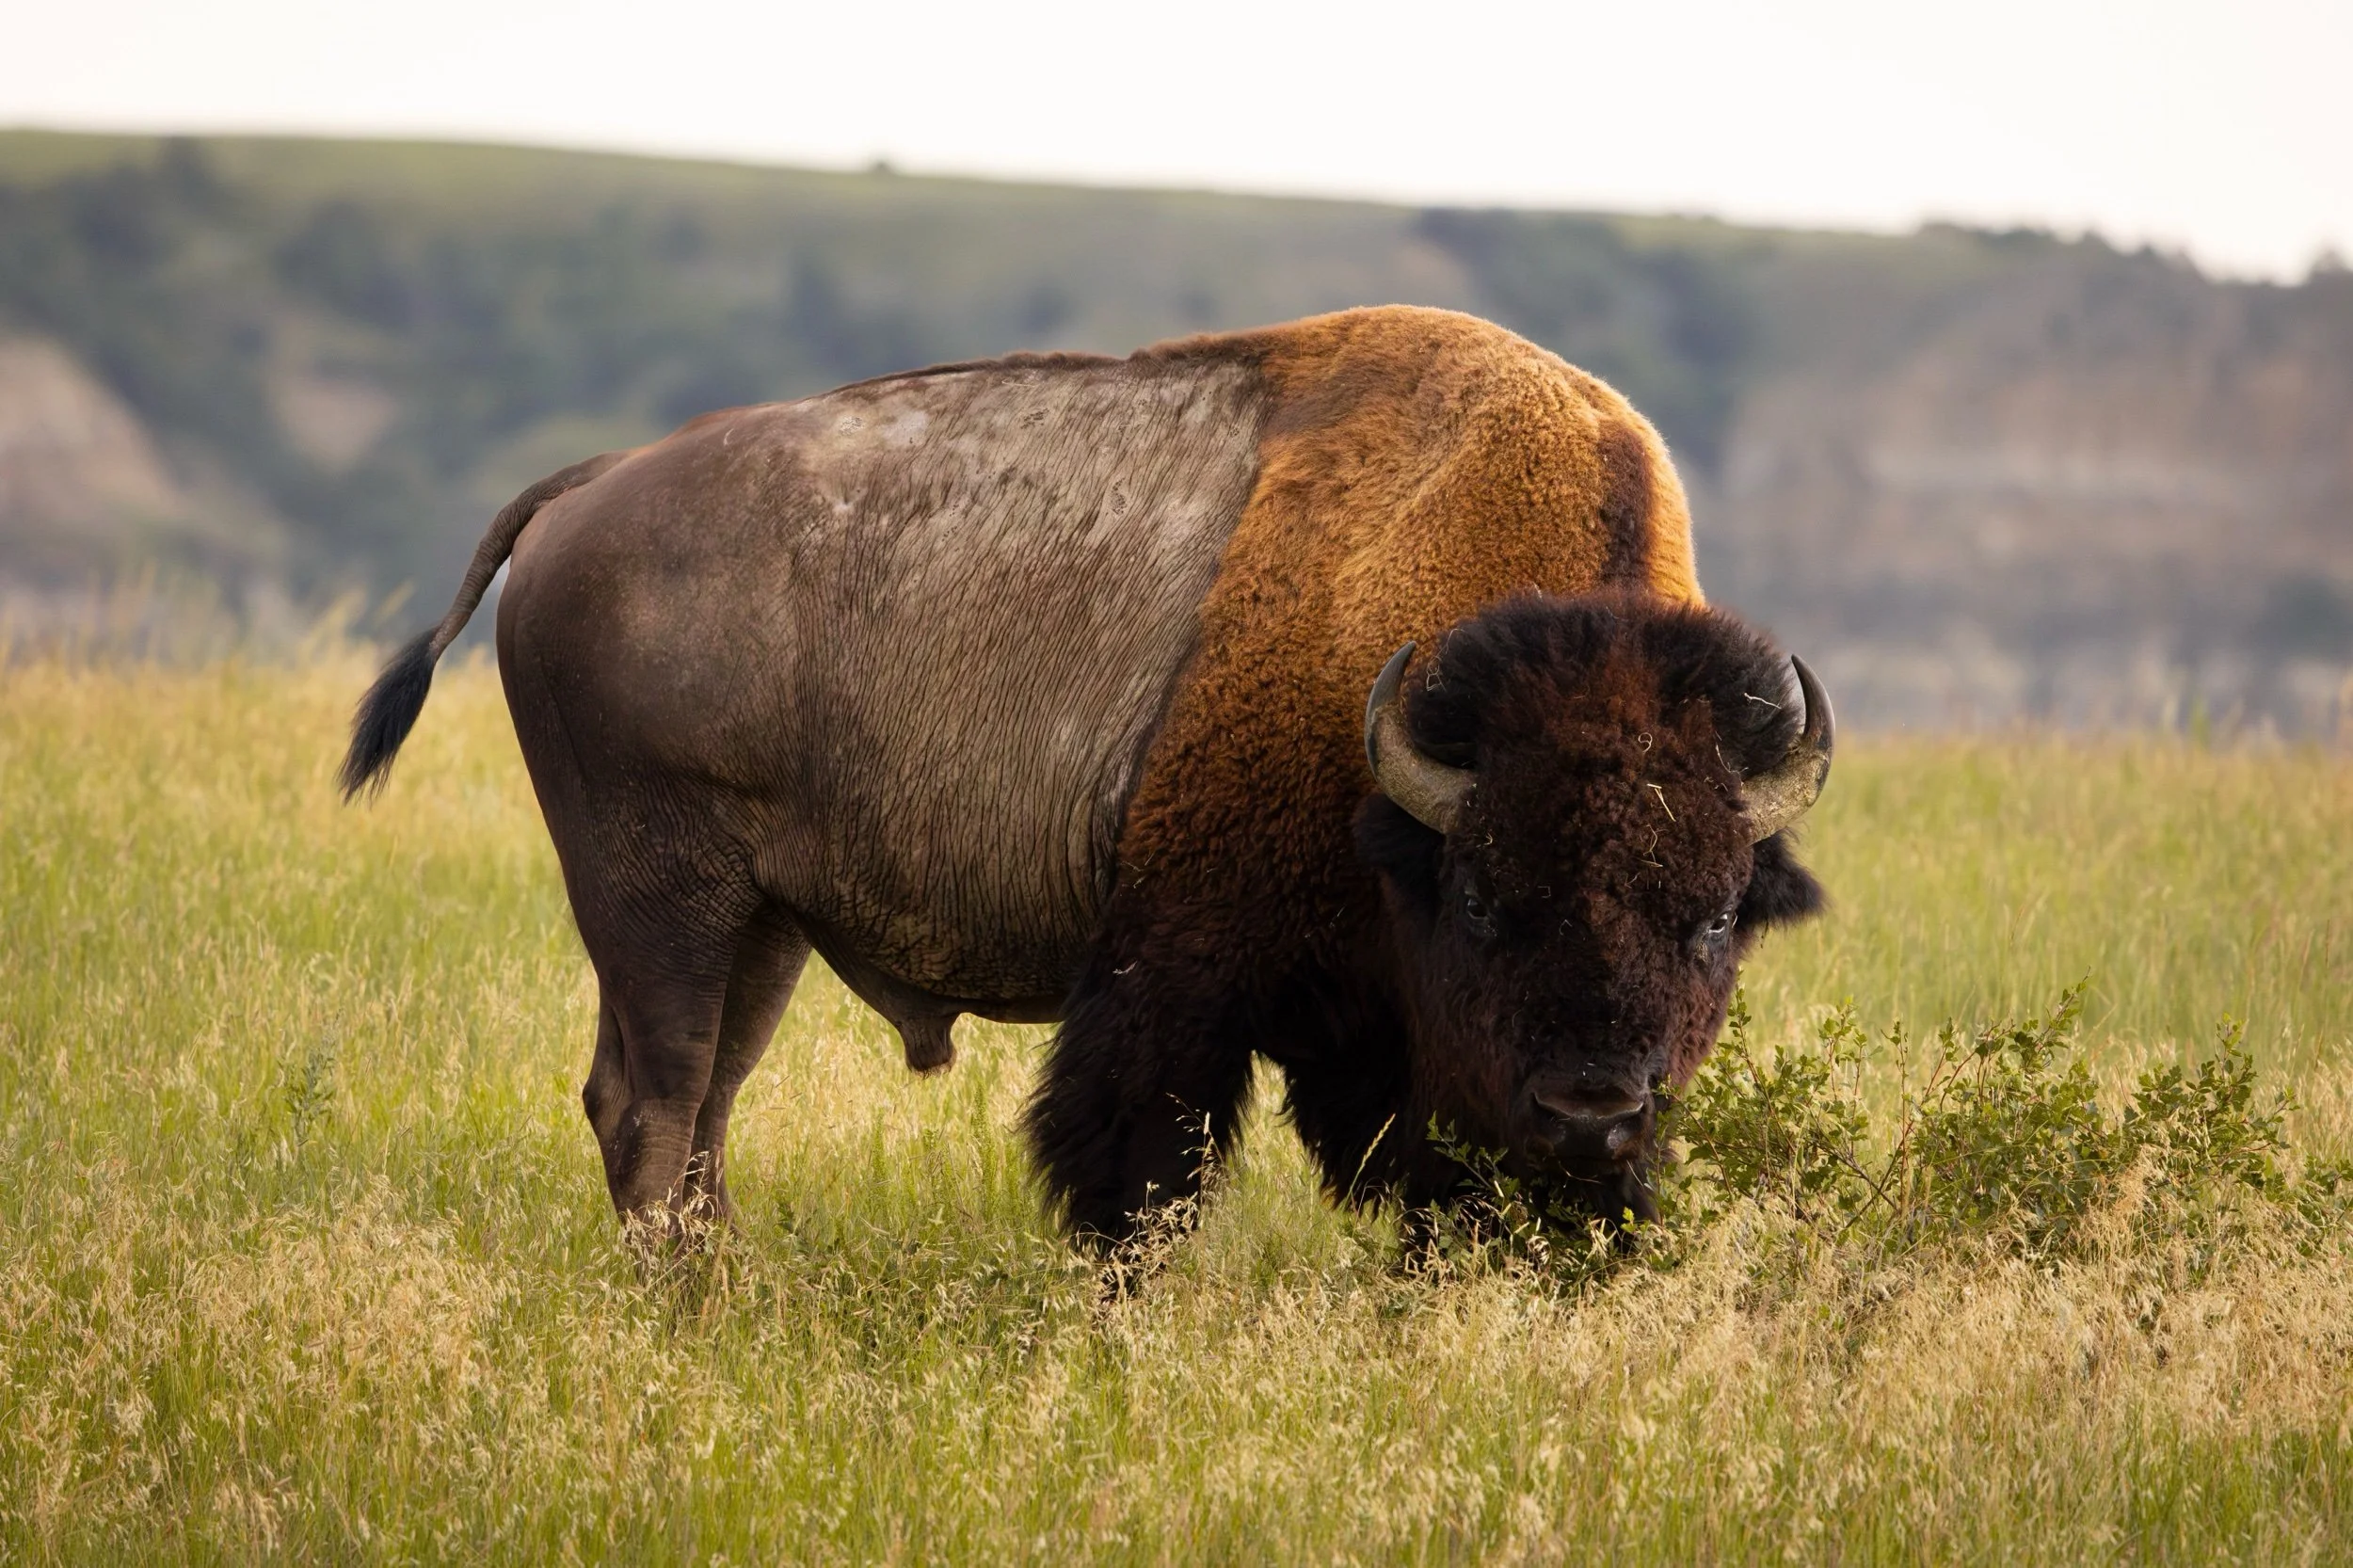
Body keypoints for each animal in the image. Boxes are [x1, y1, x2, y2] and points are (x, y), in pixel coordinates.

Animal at [342, 305, 1829, 1245]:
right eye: (1482, 899)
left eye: (1712, 917)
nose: (1596, 1109)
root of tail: (589, 487)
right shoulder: (1178, 974)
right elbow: (1136, 1175)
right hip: (657, 902)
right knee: (651, 1109)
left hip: (756, 927)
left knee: (698, 1109)